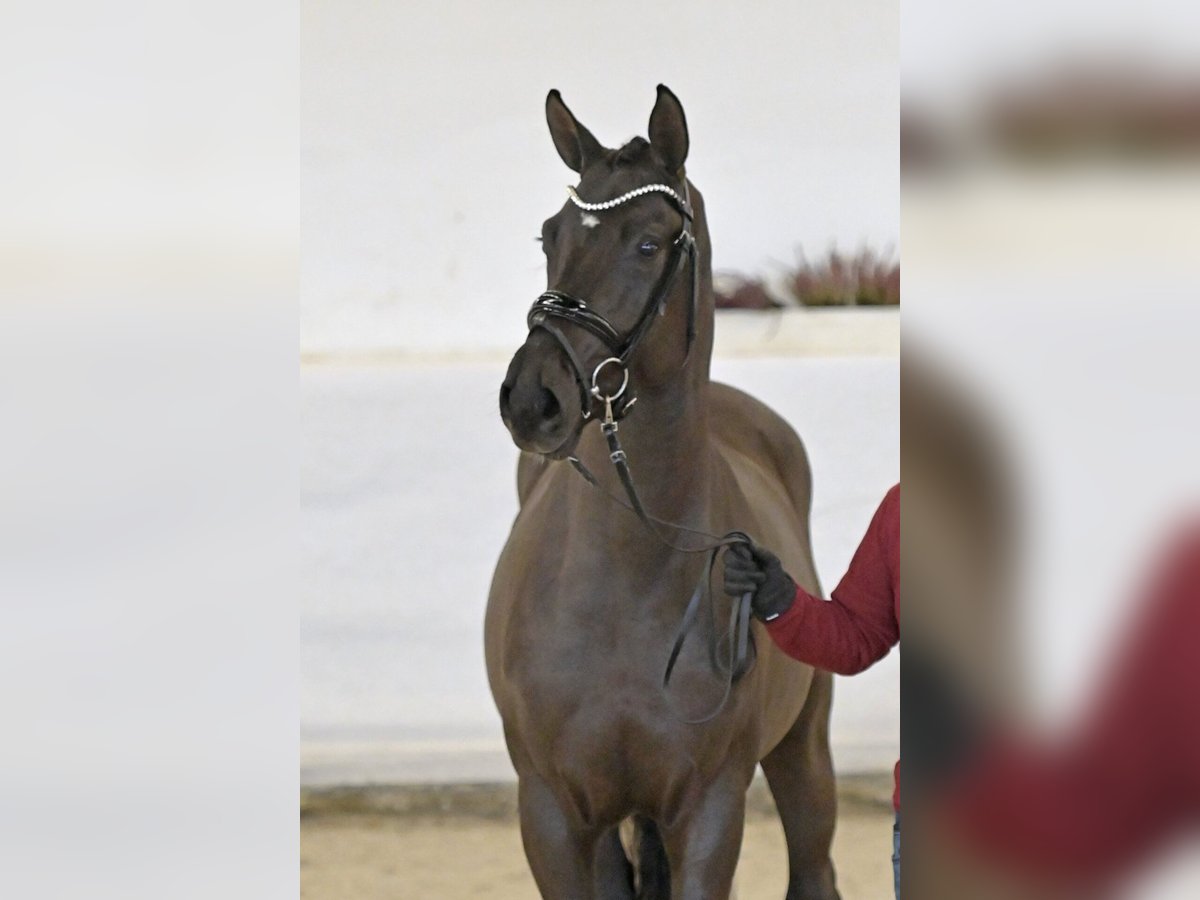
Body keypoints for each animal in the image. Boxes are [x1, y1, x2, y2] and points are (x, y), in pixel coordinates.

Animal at [484, 86, 835, 900]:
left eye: (649, 242)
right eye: (549, 236)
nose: (531, 399)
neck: (625, 581)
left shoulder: (710, 810)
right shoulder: (552, 814)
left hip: (803, 751)